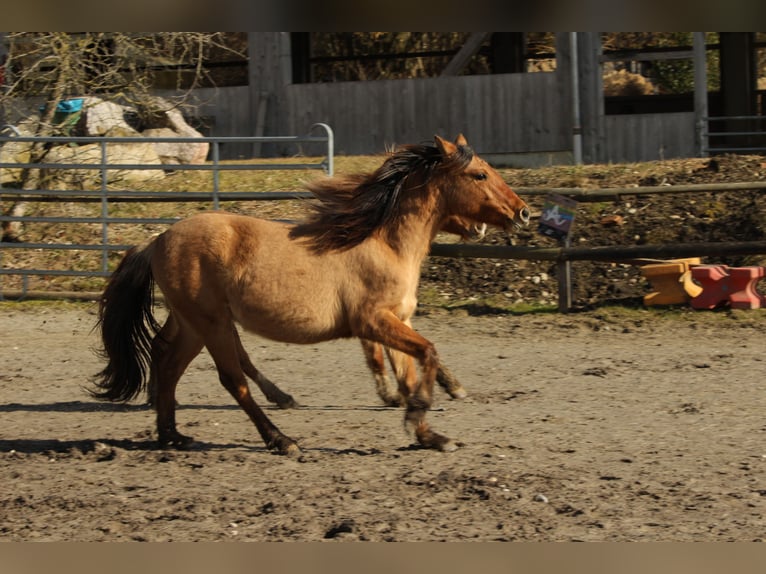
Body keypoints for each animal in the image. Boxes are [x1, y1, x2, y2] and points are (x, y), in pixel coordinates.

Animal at [93, 135, 532, 454]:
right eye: (479, 175)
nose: (524, 212)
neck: (385, 243)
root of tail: (157, 240)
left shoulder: (398, 319)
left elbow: (411, 370)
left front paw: (429, 434)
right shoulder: (372, 321)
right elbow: (427, 353)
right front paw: (417, 414)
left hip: (192, 324)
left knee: (167, 363)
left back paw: (172, 435)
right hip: (211, 323)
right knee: (232, 380)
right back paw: (281, 440)